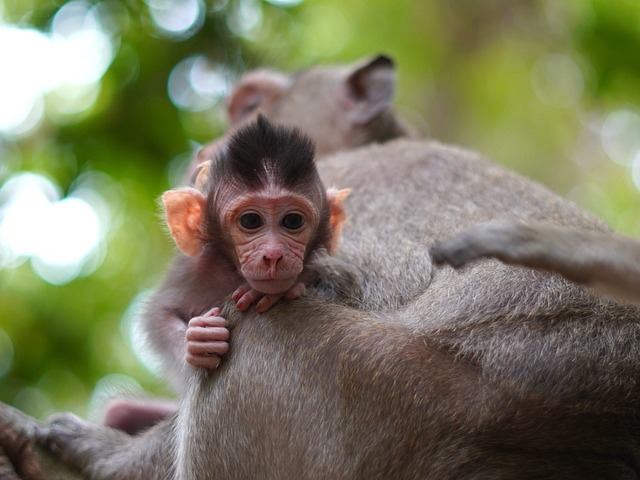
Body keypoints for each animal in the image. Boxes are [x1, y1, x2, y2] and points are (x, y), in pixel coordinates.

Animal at [3, 55, 640, 476]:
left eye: (250, 107)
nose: (203, 149)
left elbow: (353, 285)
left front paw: (109, 452)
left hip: (392, 411)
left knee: (255, 337)